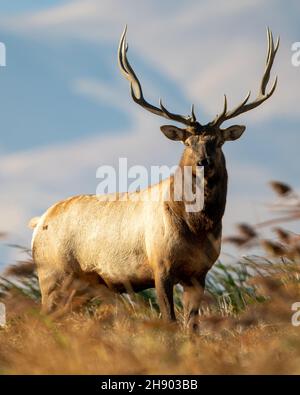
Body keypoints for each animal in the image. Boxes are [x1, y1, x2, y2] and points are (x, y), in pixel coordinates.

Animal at [29, 27, 278, 330]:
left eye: (217, 142)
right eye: (187, 142)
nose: (202, 162)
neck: (196, 228)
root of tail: (39, 222)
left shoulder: (199, 273)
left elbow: (192, 327)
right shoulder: (160, 266)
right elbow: (169, 322)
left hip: (82, 287)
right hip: (52, 275)